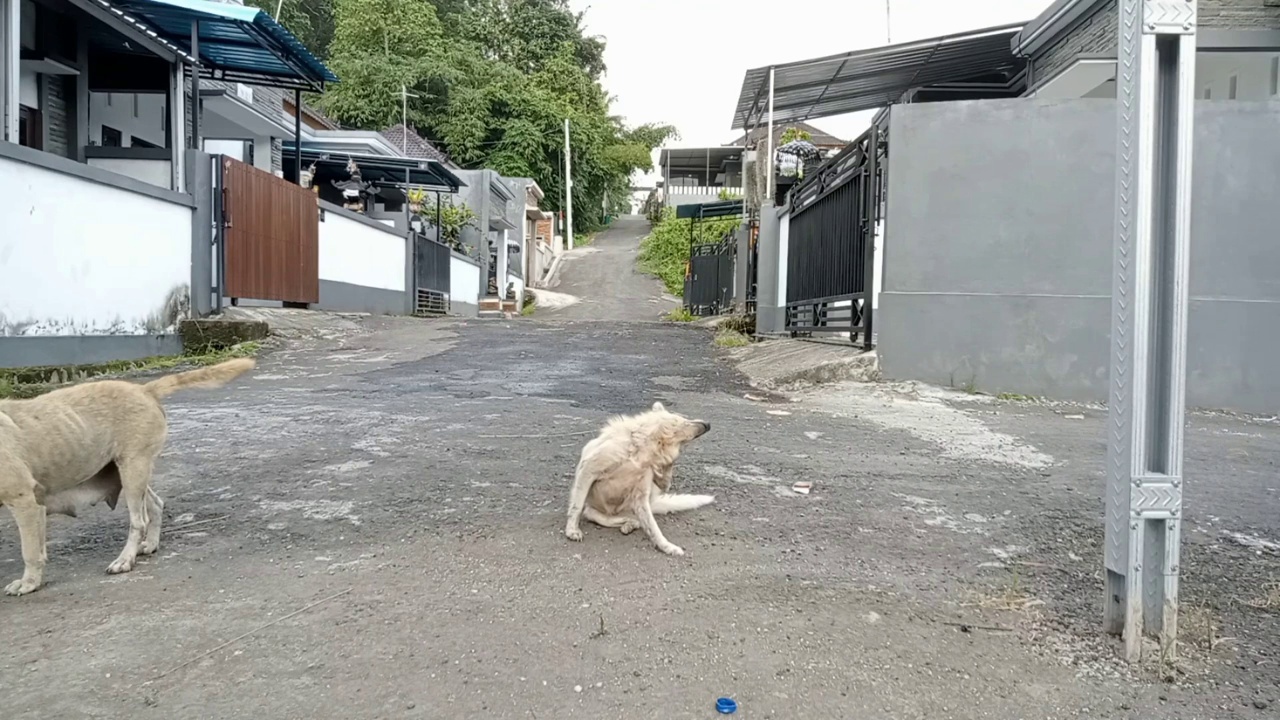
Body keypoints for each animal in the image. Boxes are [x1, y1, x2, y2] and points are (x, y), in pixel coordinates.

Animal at [0, 356, 254, 594]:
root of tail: (144, 389)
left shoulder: (24, 502)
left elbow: (30, 551)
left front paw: (29, 582)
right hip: (132, 472)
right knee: (156, 505)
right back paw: (150, 544)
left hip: (133, 471)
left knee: (138, 521)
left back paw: (125, 559)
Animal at [565, 399, 716, 550]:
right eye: (685, 421)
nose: (708, 425)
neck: (641, 449)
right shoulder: (588, 470)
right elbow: (576, 507)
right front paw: (572, 530)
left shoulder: (641, 493)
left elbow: (654, 529)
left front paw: (666, 546)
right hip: (596, 509)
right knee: (597, 515)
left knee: (637, 520)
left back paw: (630, 524)